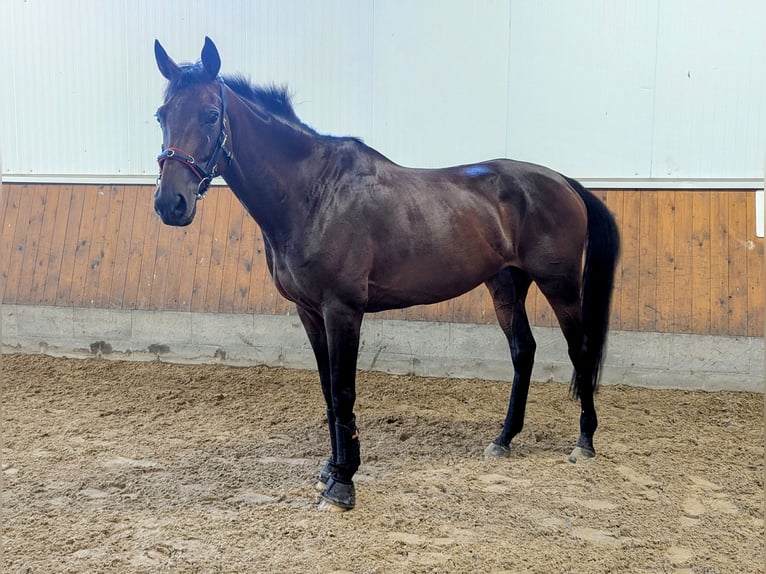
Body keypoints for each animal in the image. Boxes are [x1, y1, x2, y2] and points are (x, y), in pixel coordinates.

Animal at [153, 37, 620, 512]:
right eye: (162, 114)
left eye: (211, 114)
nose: (171, 203)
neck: (315, 193)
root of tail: (562, 181)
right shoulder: (309, 312)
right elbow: (327, 389)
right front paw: (330, 468)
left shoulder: (342, 310)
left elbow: (343, 391)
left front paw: (342, 483)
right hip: (506, 285)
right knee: (523, 351)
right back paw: (503, 439)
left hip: (560, 286)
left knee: (580, 351)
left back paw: (584, 443)